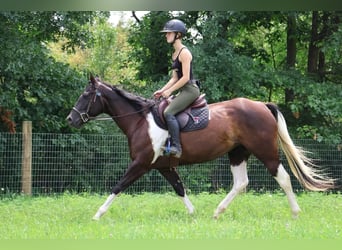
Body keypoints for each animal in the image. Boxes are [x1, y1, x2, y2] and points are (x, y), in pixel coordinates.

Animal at [66, 76, 334, 221]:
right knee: (241, 183)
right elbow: (179, 188)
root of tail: (261, 105)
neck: (141, 121)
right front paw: (194, 215)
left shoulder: (140, 164)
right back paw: (217, 212)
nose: (71, 119)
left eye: (86, 94)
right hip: (237, 153)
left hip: (265, 152)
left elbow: (118, 186)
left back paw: (295, 213)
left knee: (284, 178)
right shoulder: (163, 166)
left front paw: (97, 215)